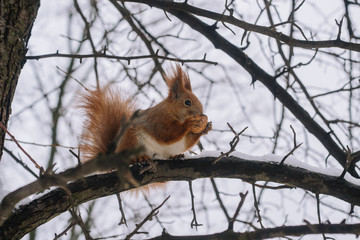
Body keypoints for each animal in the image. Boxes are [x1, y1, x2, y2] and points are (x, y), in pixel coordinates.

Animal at [80, 64, 212, 167]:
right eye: (187, 102)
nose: (201, 114)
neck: (175, 114)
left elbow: (187, 141)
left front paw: (205, 128)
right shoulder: (158, 119)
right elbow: (166, 133)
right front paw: (189, 123)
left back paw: (176, 156)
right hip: (131, 139)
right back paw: (139, 158)